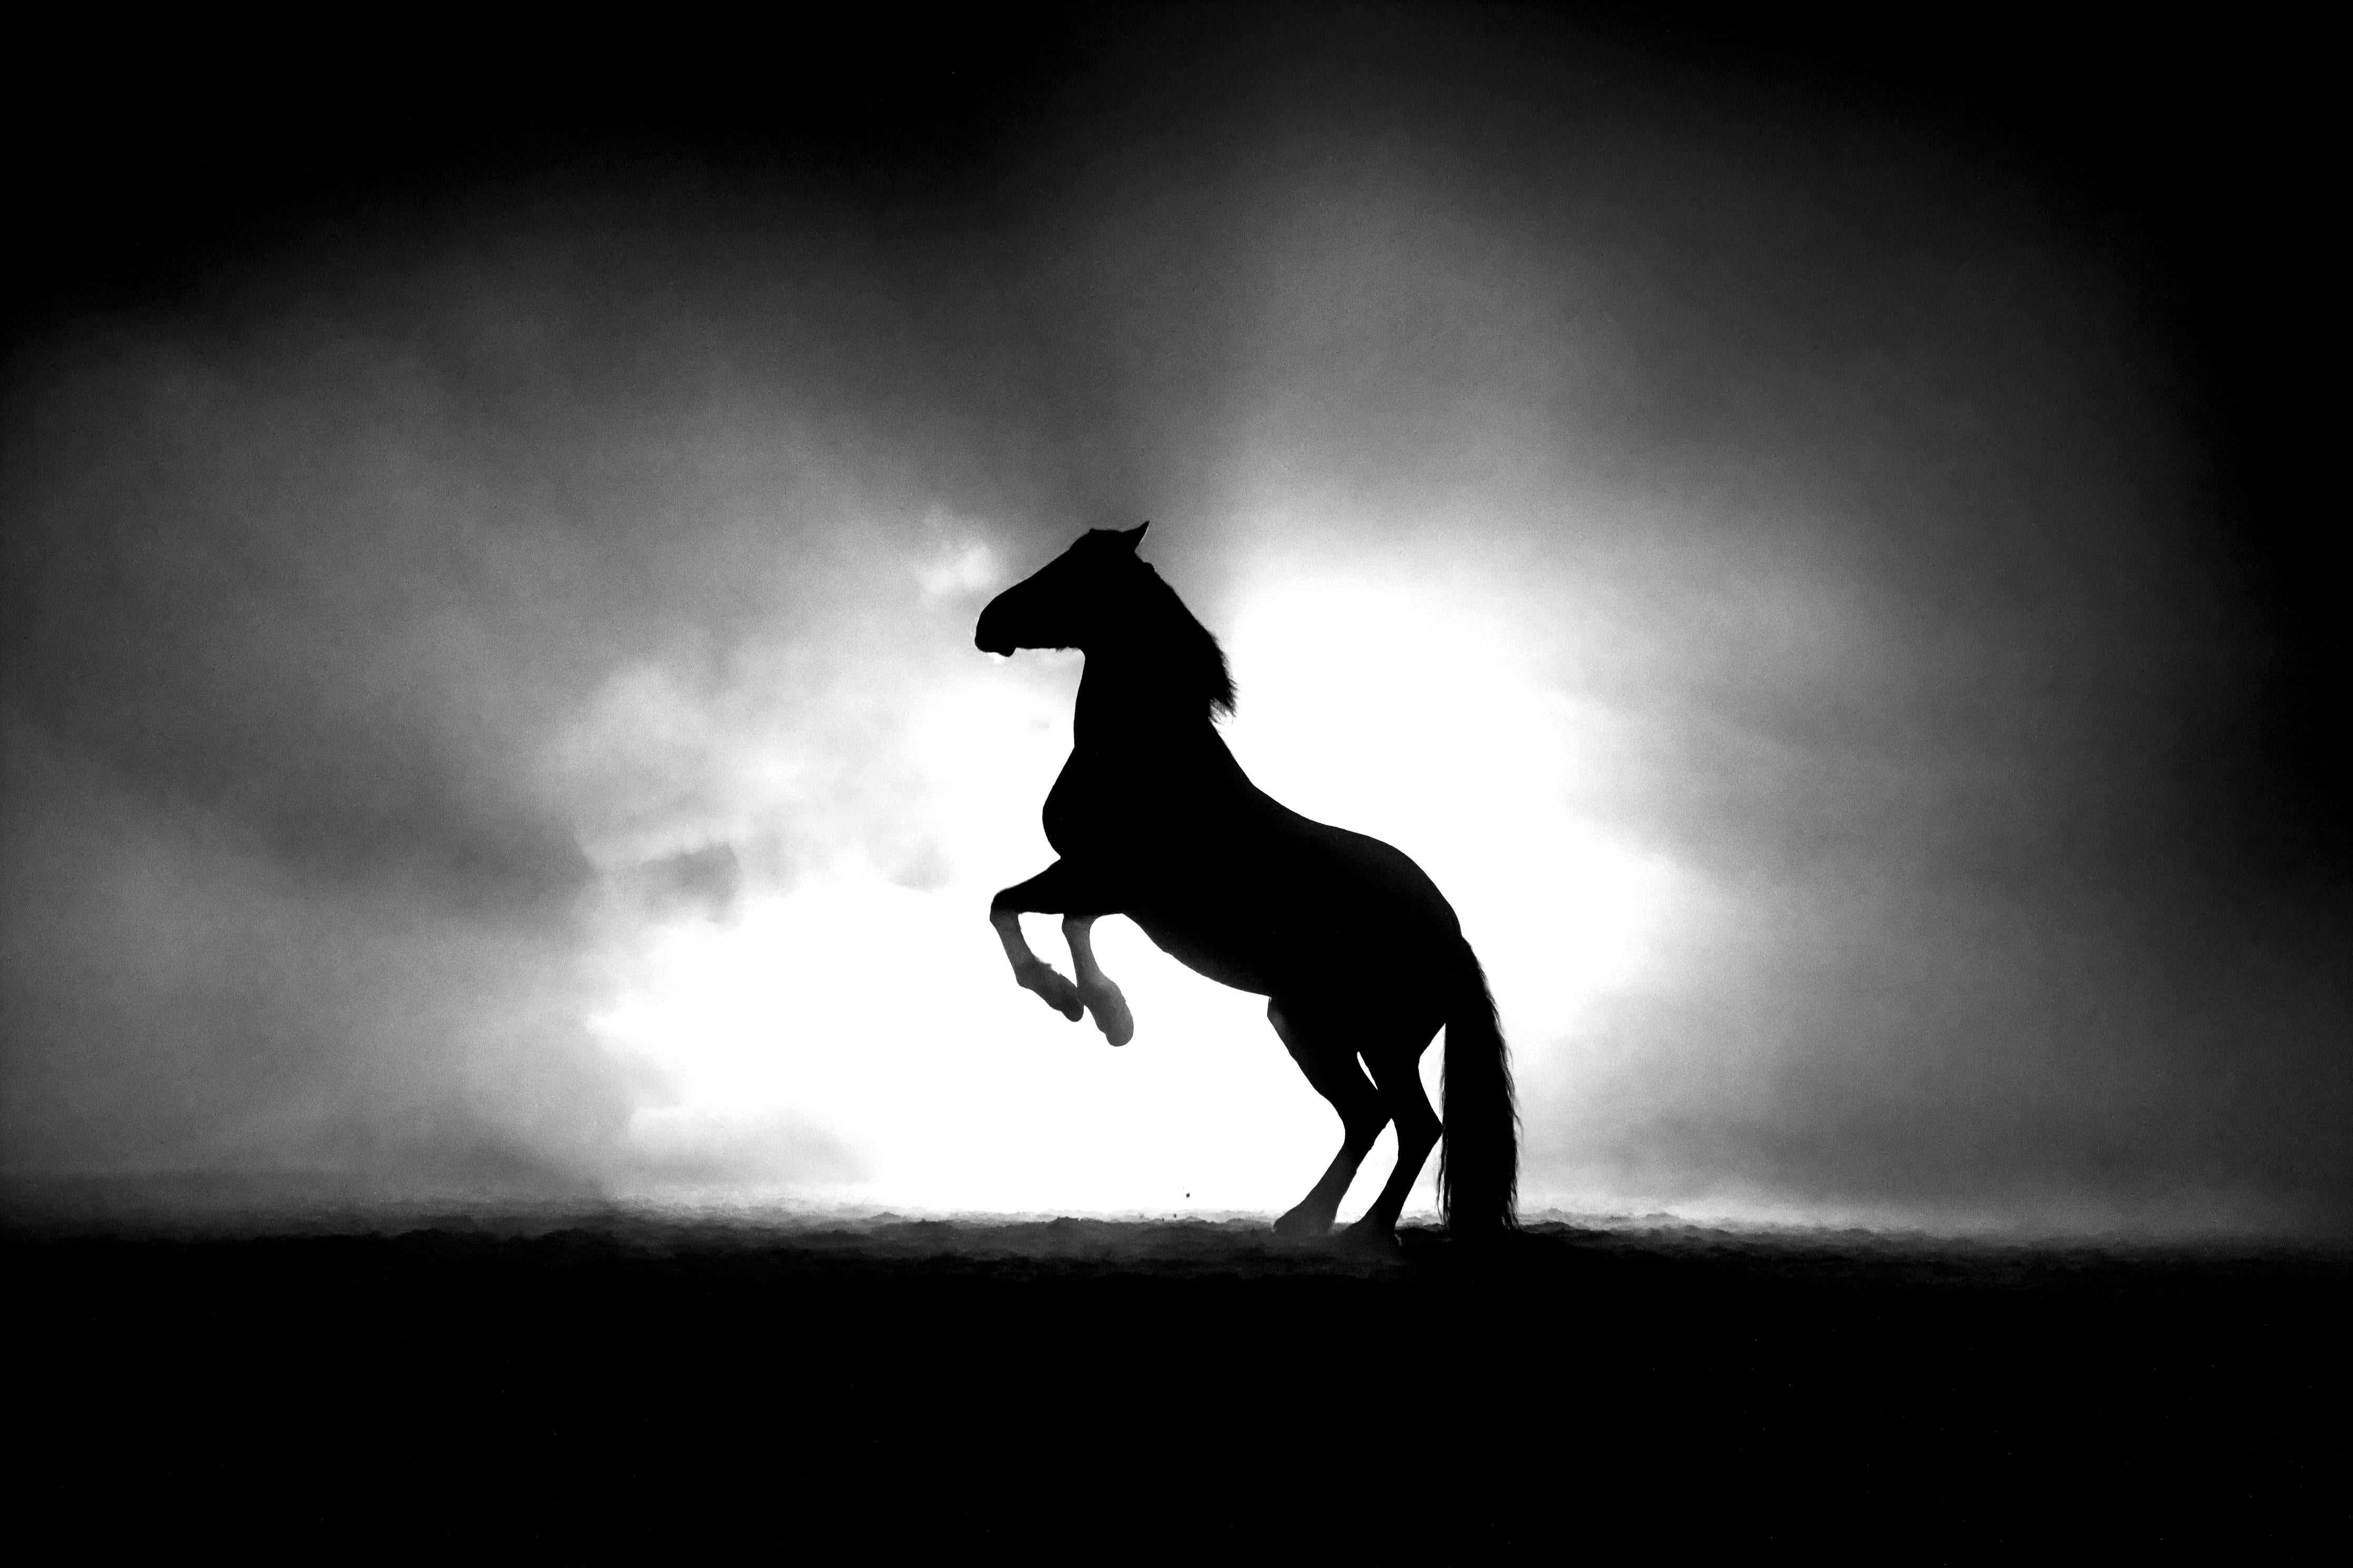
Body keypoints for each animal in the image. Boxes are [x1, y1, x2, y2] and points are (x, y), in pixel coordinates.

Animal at [974, 523, 1518, 1243]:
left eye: (1074, 572)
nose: (988, 623)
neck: (1150, 755)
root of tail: (1453, 941)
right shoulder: (1105, 887)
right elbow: (1052, 918)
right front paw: (1108, 1011)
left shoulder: (1107, 880)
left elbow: (1008, 909)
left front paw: (1073, 998)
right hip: (1305, 1023)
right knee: (1369, 1117)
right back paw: (1308, 1218)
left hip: (1377, 1038)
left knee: (1410, 1123)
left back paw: (1365, 1230)